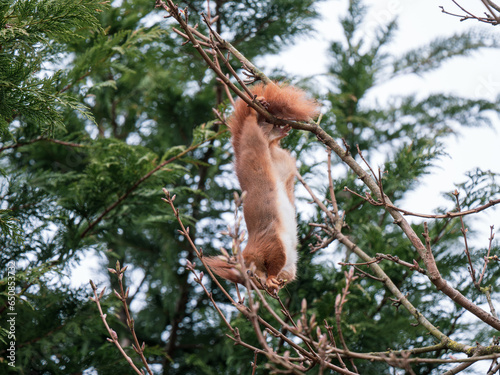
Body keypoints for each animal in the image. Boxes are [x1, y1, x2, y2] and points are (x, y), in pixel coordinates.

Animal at [204, 81, 318, 294]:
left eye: (248, 273)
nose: (260, 288)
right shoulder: (287, 267)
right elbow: (286, 275)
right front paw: (274, 285)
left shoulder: (271, 243)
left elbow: (275, 261)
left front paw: (271, 279)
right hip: (278, 159)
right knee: (269, 140)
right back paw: (275, 132)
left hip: (252, 143)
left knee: (254, 126)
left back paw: (256, 113)